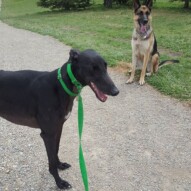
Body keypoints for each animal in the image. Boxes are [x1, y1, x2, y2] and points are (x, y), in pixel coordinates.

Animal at [0, 49, 119, 190]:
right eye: (93, 68)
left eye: (105, 66)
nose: (116, 91)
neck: (61, 85)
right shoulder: (48, 134)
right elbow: (51, 161)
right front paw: (59, 182)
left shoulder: (58, 128)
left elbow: (56, 151)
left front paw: (60, 165)